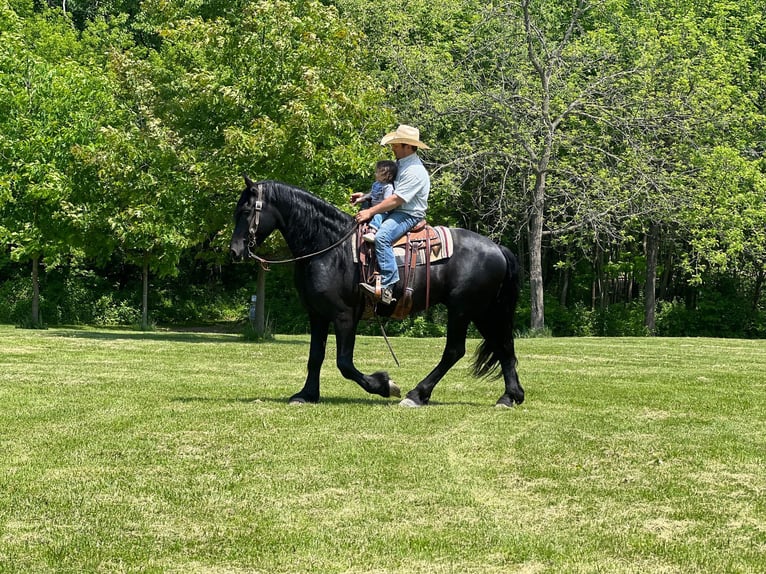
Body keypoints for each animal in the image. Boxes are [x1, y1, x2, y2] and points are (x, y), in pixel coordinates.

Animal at [231, 178, 524, 408]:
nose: (235, 251)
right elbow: (315, 357)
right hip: (484, 311)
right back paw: (510, 396)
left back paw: (417, 394)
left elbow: (344, 363)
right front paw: (306, 394)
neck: (329, 248)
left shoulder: (344, 315)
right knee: (503, 346)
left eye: (245, 210)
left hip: (463, 310)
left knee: (454, 350)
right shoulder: (317, 314)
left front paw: (385, 385)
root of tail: (498, 248)